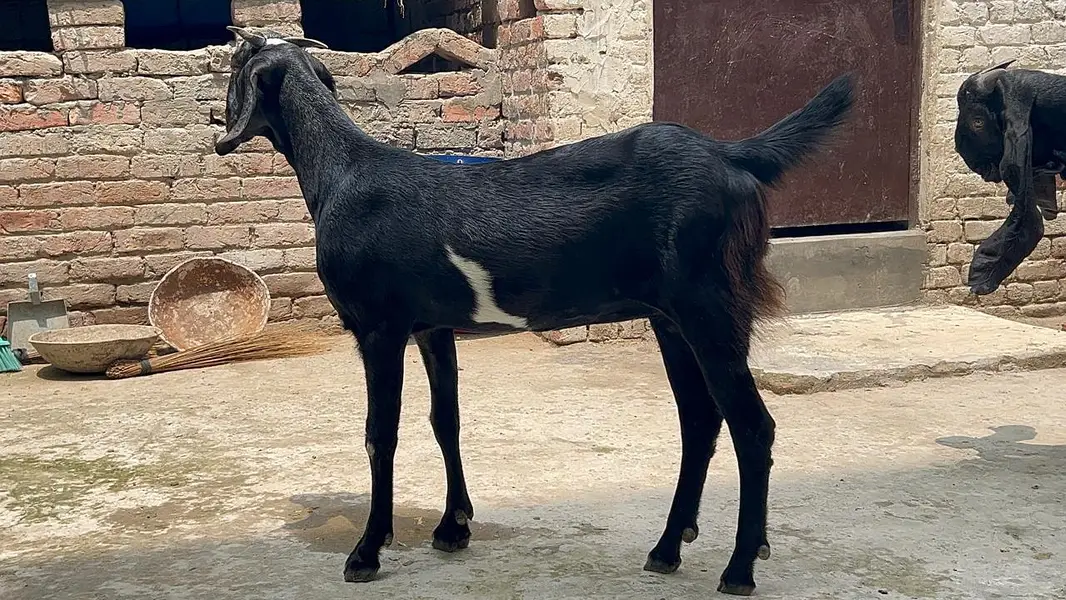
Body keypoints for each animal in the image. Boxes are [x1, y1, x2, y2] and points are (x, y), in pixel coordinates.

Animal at [216, 26, 855, 596]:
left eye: (232, 71)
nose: (219, 137)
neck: (344, 173)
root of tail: (730, 153)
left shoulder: (379, 326)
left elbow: (382, 434)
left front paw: (367, 551)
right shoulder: (433, 327)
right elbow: (446, 420)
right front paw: (454, 527)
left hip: (710, 308)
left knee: (752, 425)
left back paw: (740, 567)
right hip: (672, 318)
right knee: (700, 420)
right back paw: (667, 548)